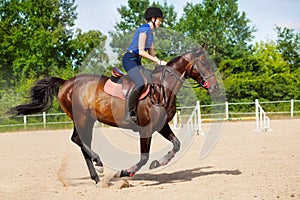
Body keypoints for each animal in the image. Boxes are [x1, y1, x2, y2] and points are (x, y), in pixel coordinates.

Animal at [7, 47, 218, 184]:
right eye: (204, 63)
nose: (215, 87)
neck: (162, 89)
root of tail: (67, 82)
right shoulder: (146, 129)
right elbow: (143, 157)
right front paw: (126, 172)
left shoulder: (161, 126)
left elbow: (176, 144)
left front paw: (158, 163)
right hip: (82, 118)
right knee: (78, 140)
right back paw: (99, 163)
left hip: (87, 120)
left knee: (83, 143)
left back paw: (96, 176)